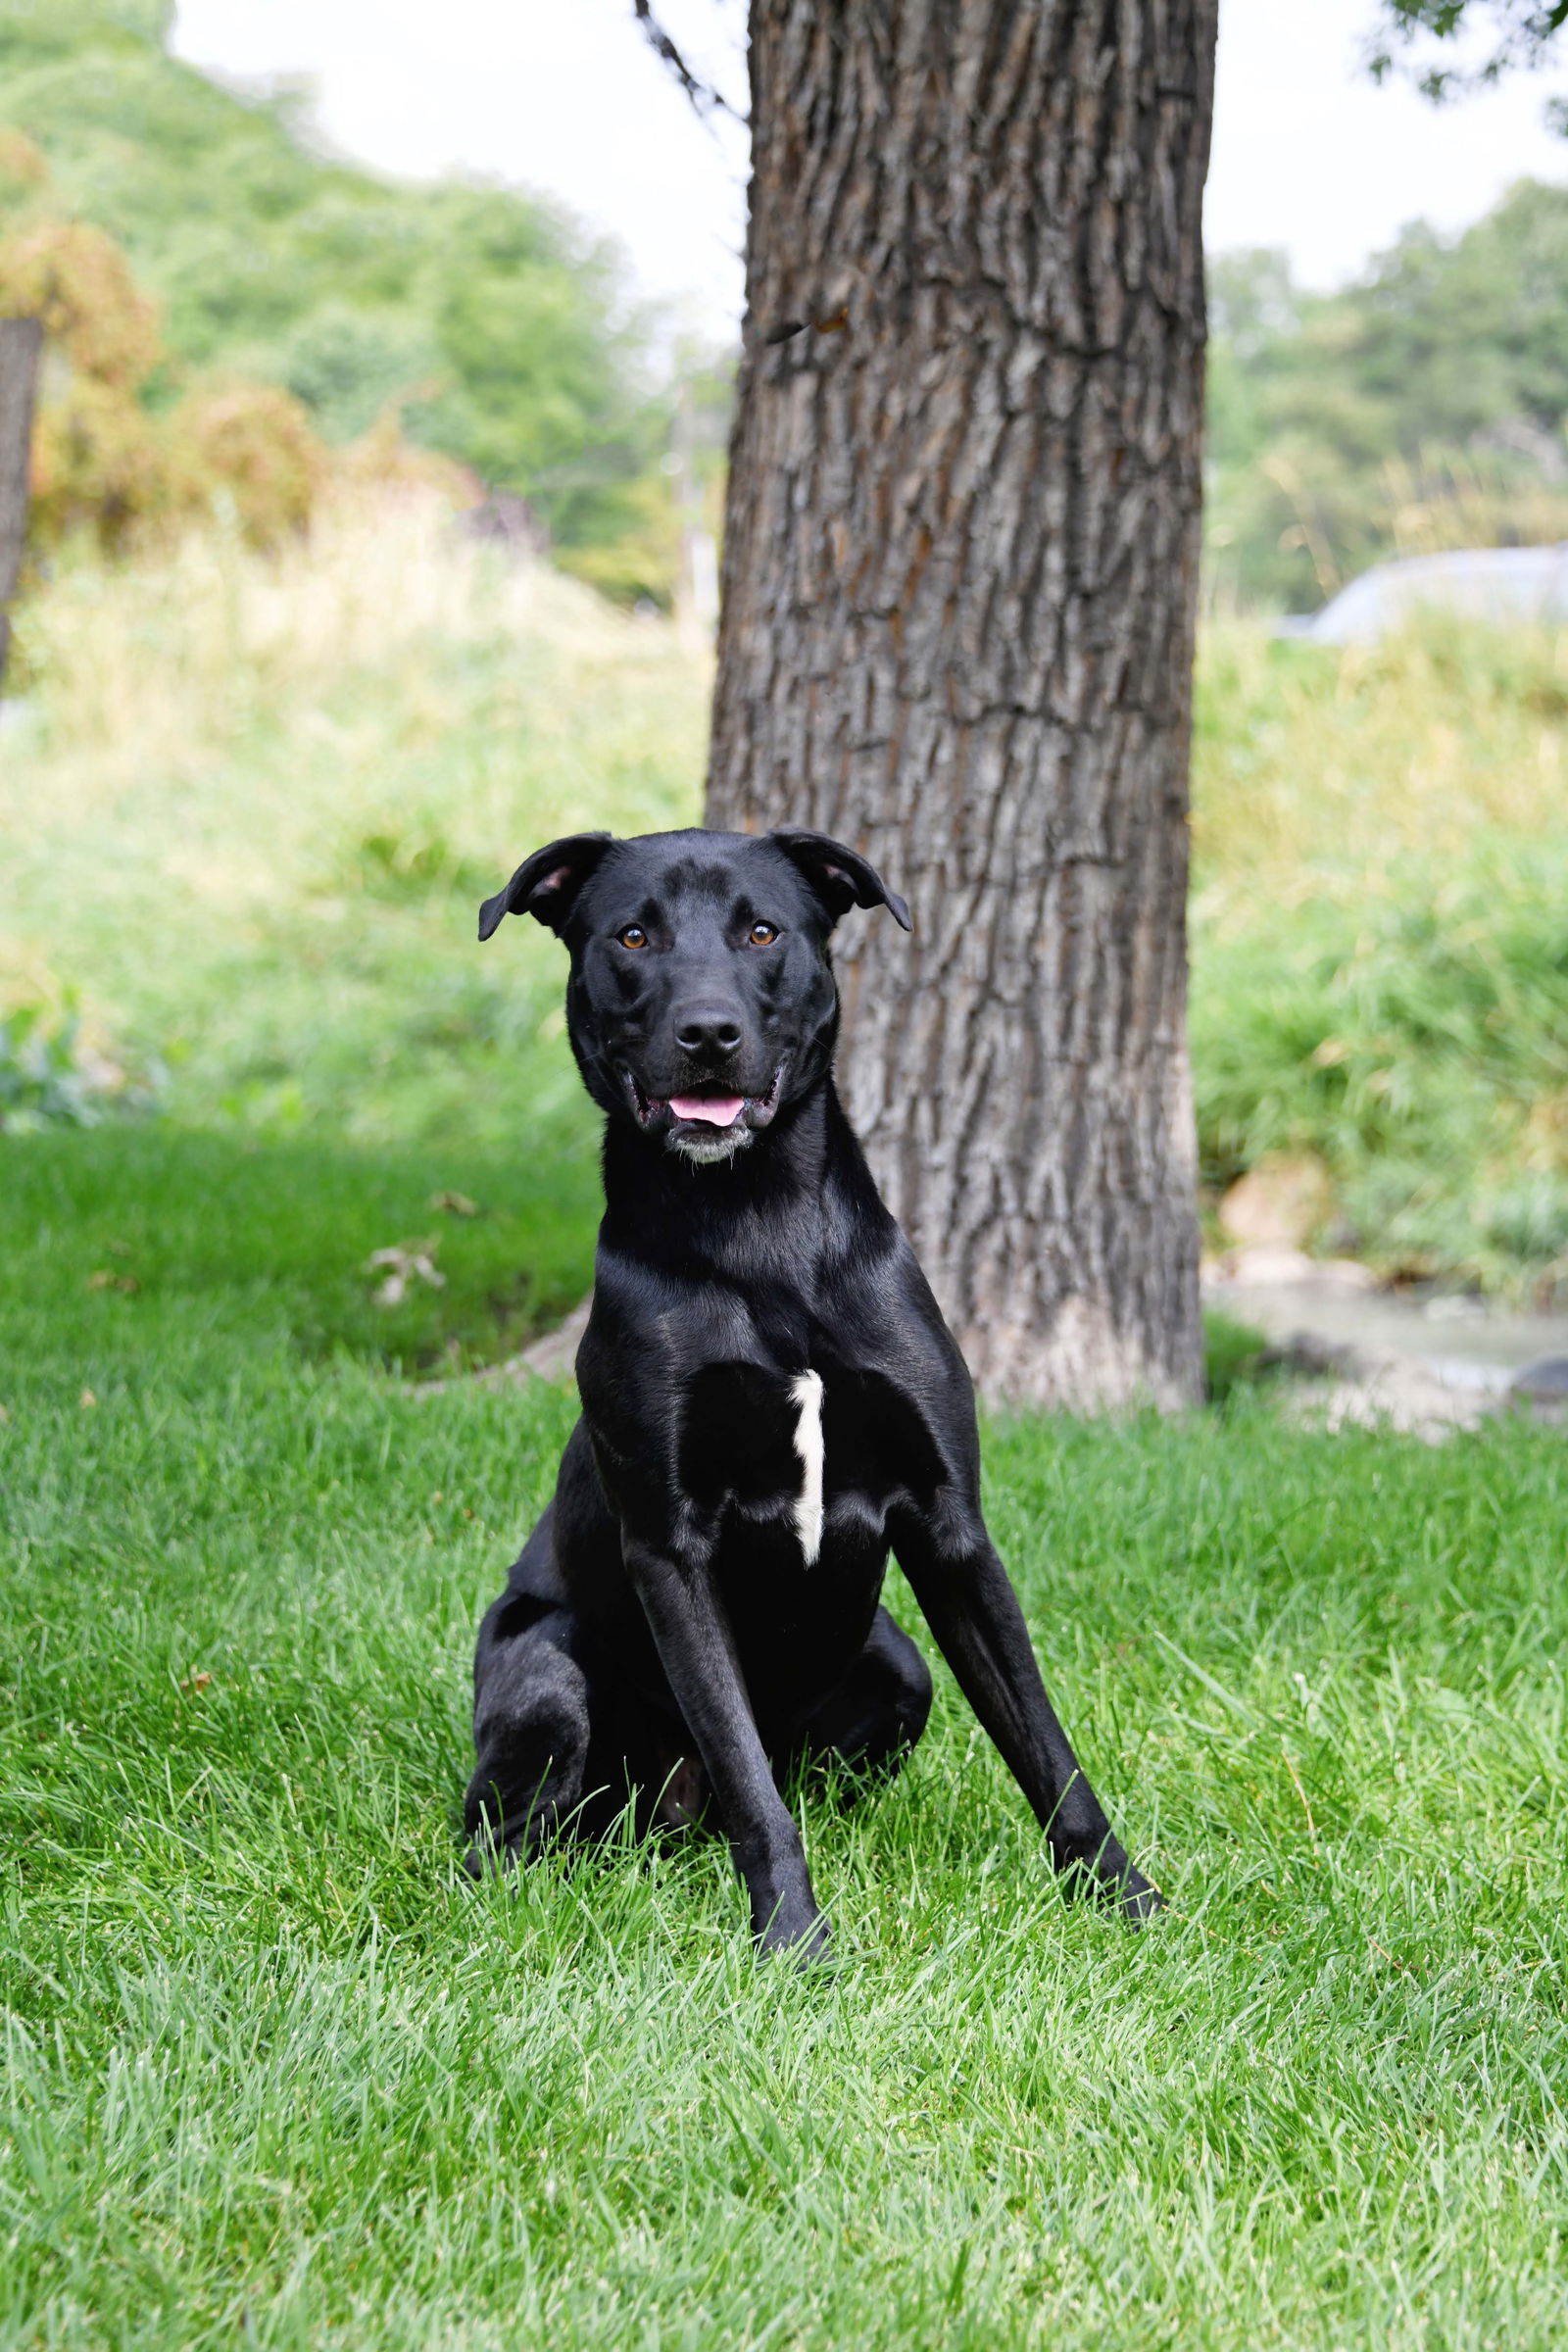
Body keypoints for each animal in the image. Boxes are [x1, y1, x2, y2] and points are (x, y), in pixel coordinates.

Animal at [461, 827, 1161, 1947]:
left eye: (762, 931)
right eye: (631, 936)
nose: (708, 1034)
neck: (759, 1228)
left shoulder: (950, 1526)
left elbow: (1046, 1747)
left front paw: (1127, 1903)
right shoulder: (672, 1549)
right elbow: (749, 1776)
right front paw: (792, 1937)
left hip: (897, 1663)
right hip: (546, 1674)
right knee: (516, 1831)